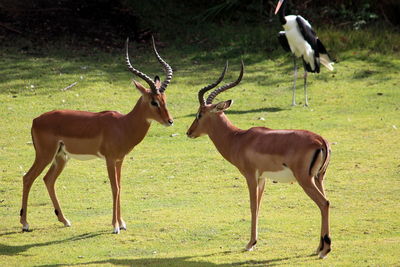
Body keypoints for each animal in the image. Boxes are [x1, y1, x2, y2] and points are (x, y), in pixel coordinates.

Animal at [20, 37, 173, 234]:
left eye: (164, 99)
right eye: (154, 102)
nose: (170, 121)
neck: (124, 124)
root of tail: (35, 120)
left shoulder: (119, 160)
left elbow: (120, 187)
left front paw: (122, 223)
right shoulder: (109, 159)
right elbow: (114, 188)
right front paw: (115, 226)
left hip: (61, 157)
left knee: (48, 180)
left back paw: (65, 220)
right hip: (45, 155)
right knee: (27, 178)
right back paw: (25, 224)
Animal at [187, 61, 332, 258]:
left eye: (199, 114)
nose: (189, 132)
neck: (238, 138)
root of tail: (321, 140)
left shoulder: (250, 175)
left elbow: (252, 205)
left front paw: (250, 243)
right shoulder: (263, 178)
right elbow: (259, 205)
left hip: (305, 180)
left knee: (324, 203)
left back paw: (325, 250)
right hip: (319, 178)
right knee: (325, 202)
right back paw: (318, 247)